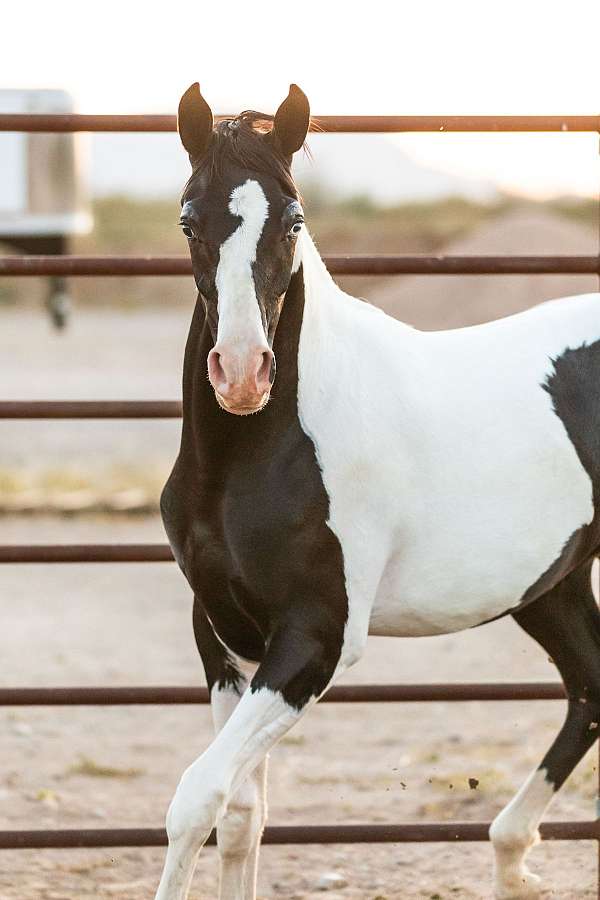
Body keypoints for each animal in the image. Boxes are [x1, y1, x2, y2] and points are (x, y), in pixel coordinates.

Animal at [157, 81, 600, 896]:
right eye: (189, 219)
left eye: (293, 218)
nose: (242, 373)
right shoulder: (222, 632)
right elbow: (240, 815)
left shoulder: (317, 637)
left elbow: (198, 797)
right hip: (551, 586)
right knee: (591, 686)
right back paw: (511, 854)